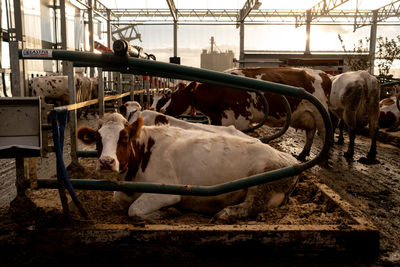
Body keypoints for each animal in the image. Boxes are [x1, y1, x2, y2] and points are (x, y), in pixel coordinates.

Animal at [76, 112, 298, 223]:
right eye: (98, 139)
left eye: (124, 138)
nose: (106, 162)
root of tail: (291, 160)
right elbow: (120, 200)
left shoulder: (166, 191)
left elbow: (134, 210)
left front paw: (168, 212)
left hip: (262, 182)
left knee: (252, 205)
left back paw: (226, 213)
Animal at [151, 68, 332, 162]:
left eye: (174, 96)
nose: (162, 111)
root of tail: (324, 74)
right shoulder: (218, 119)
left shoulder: (240, 120)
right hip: (308, 115)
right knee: (310, 133)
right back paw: (303, 154)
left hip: (321, 115)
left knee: (325, 134)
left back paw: (323, 158)